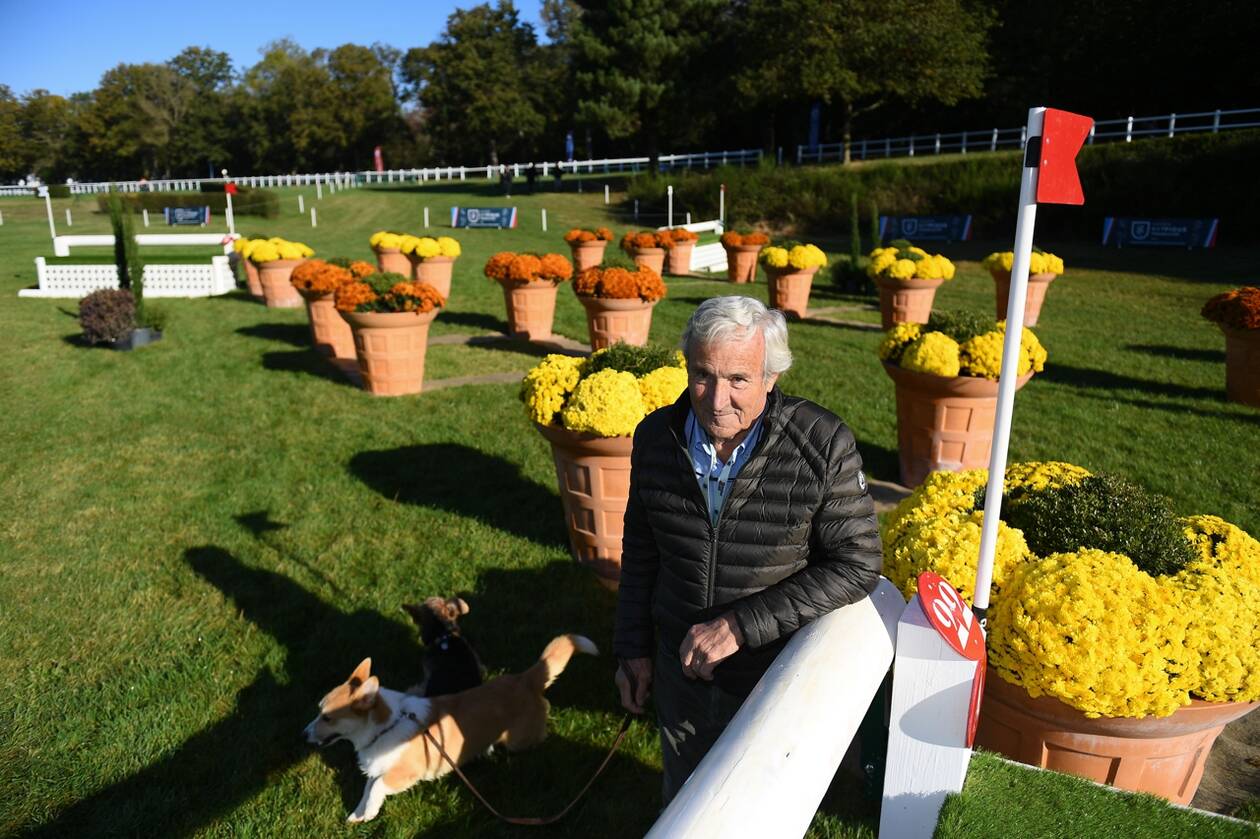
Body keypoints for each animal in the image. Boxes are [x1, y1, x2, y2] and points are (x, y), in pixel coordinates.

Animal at [306, 634, 599, 816]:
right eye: (319, 711)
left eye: (327, 717)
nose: (303, 733)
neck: (386, 725)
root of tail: (526, 679)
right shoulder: (379, 768)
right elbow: (368, 789)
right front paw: (360, 815)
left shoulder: (405, 772)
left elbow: (376, 786)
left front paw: (365, 812)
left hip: (519, 740)